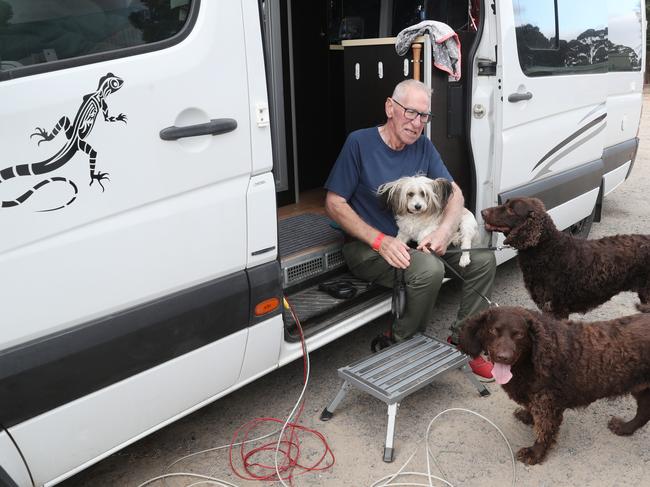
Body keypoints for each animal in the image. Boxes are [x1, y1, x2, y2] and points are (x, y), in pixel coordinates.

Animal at [456, 306, 648, 468]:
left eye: (519, 335)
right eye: (493, 331)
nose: (503, 357)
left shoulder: (547, 403)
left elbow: (544, 430)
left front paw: (534, 454)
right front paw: (527, 416)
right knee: (643, 414)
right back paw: (625, 428)